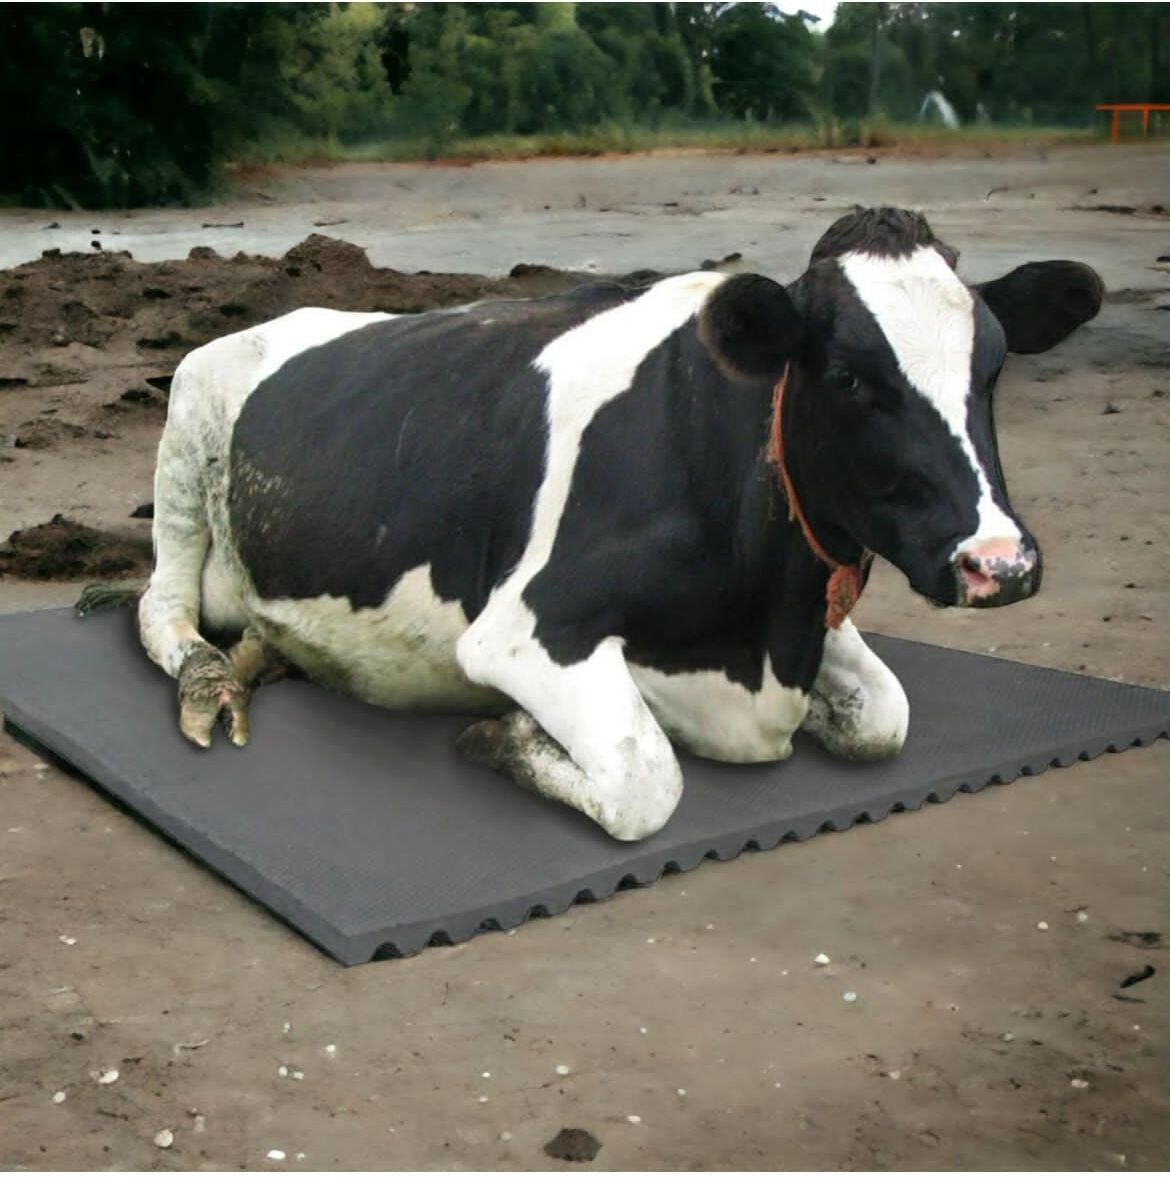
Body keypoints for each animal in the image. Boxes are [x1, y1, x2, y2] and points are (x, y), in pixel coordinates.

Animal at [123, 207, 1102, 841]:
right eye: (849, 376)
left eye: (993, 366)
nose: (999, 563)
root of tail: (283, 317)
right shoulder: (522, 631)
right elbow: (645, 778)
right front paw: (506, 734)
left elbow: (885, 715)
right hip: (185, 436)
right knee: (161, 606)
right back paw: (213, 679)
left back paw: (268, 654)